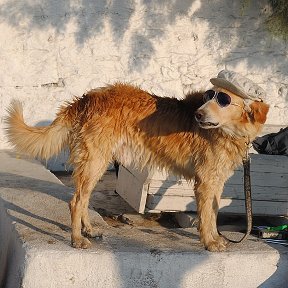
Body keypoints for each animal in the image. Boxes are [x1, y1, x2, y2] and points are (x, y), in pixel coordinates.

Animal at [5, 81, 268, 252]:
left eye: (224, 101)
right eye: (208, 97)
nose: (198, 116)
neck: (229, 132)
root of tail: (87, 98)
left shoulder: (217, 182)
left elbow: (213, 213)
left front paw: (215, 238)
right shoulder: (205, 181)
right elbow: (206, 216)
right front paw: (209, 242)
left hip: (97, 162)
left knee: (84, 199)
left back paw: (88, 229)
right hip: (95, 160)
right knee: (76, 201)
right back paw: (77, 239)